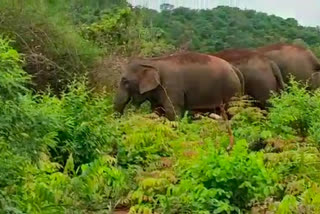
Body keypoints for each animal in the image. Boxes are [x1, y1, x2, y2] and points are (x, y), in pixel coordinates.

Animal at [114, 51, 244, 119]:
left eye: (125, 81)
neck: (151, 61)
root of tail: (235, 69)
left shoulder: (171, 87)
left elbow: (173, 111)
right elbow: (156, 110)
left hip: (231, 90)